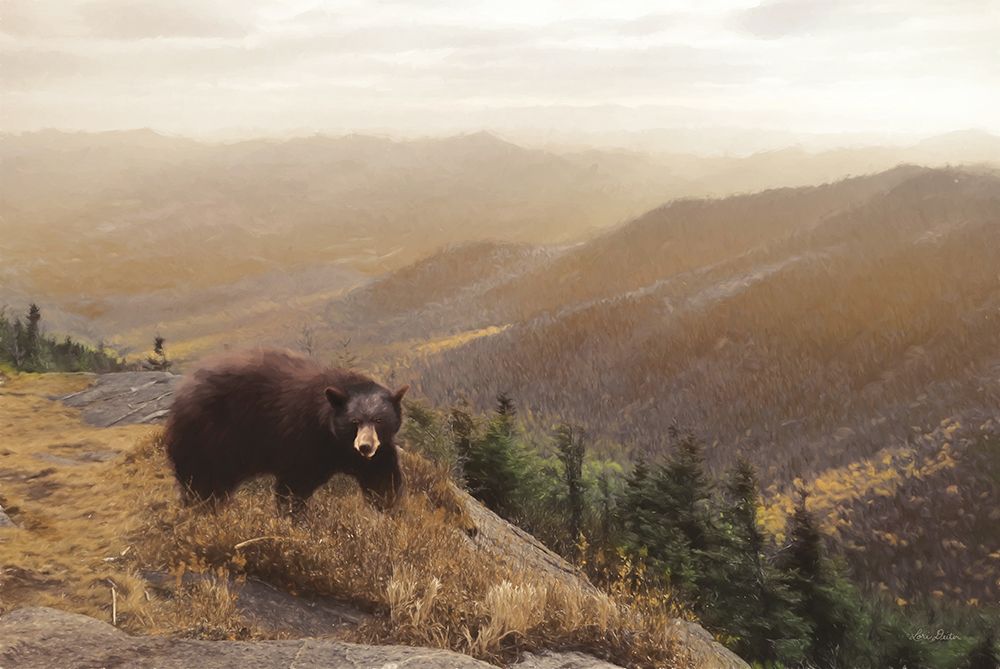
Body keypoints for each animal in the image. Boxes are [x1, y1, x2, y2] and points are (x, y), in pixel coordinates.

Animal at [164, 348, 408, 514]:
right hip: (208, 439)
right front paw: (296, 518)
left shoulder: (376, 452)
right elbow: (294, 485)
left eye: (378, 420)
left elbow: (382, 479)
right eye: (354, 421)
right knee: (202, 482)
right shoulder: (304, 440)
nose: (365, 446)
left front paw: (387, 511)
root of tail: (180, 394)